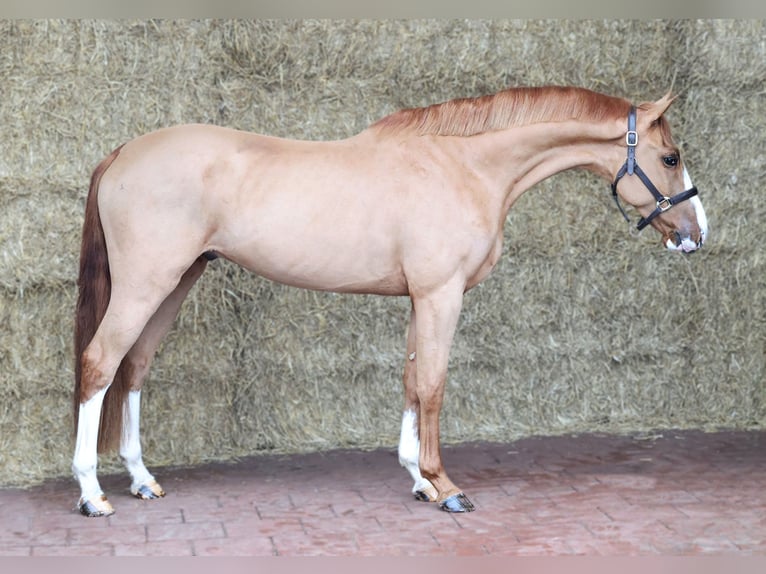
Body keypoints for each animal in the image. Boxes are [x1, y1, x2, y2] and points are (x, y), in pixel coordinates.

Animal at [72, 85, 708, 517]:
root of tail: (123, 152)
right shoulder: (441, 294)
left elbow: (410, 381)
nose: (696, 234)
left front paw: (419, 480)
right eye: (671, 158)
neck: (465, 166)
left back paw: (141, 478)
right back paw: (92, 493)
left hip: (177, 282)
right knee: (100, 364)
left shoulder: (419, 298)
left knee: (133, 368)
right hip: (148, 282)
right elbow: (433, 383)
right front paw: (445, 486)